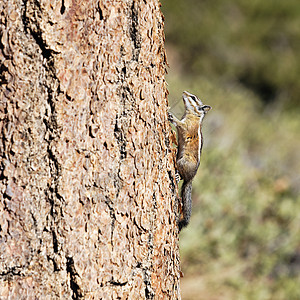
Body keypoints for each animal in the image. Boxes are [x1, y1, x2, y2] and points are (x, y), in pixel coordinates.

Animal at [168, 90, 212, 231]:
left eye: (193, 98)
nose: (184, 92)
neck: (194, 116)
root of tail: (191, 178)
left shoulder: (187, 126)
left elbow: (181, 125)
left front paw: (172, 117)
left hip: (184, 161)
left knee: (182, 176)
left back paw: (177, 176)